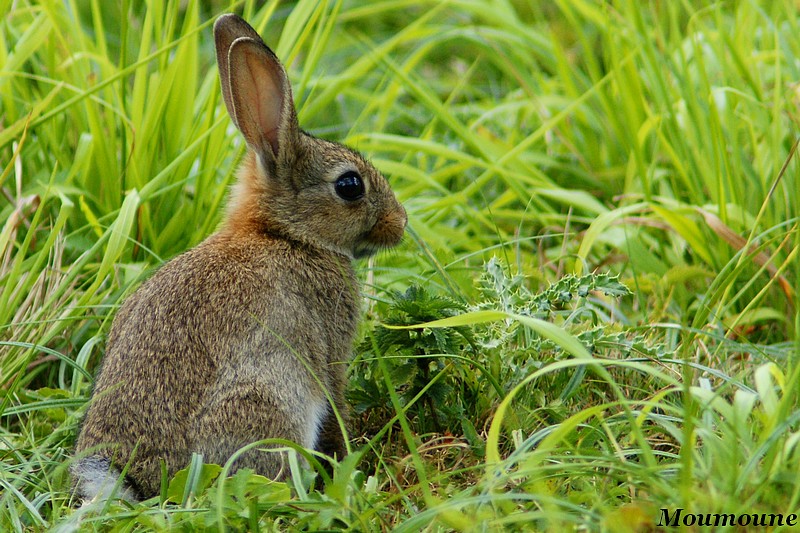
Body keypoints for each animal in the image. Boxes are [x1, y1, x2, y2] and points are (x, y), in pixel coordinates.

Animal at [72, 13, 410, 502]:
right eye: (350, 186)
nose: (400, 222)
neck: (287, 235)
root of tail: (135, 475)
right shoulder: (329, 350)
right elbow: (337, 399)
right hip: (270, 401)